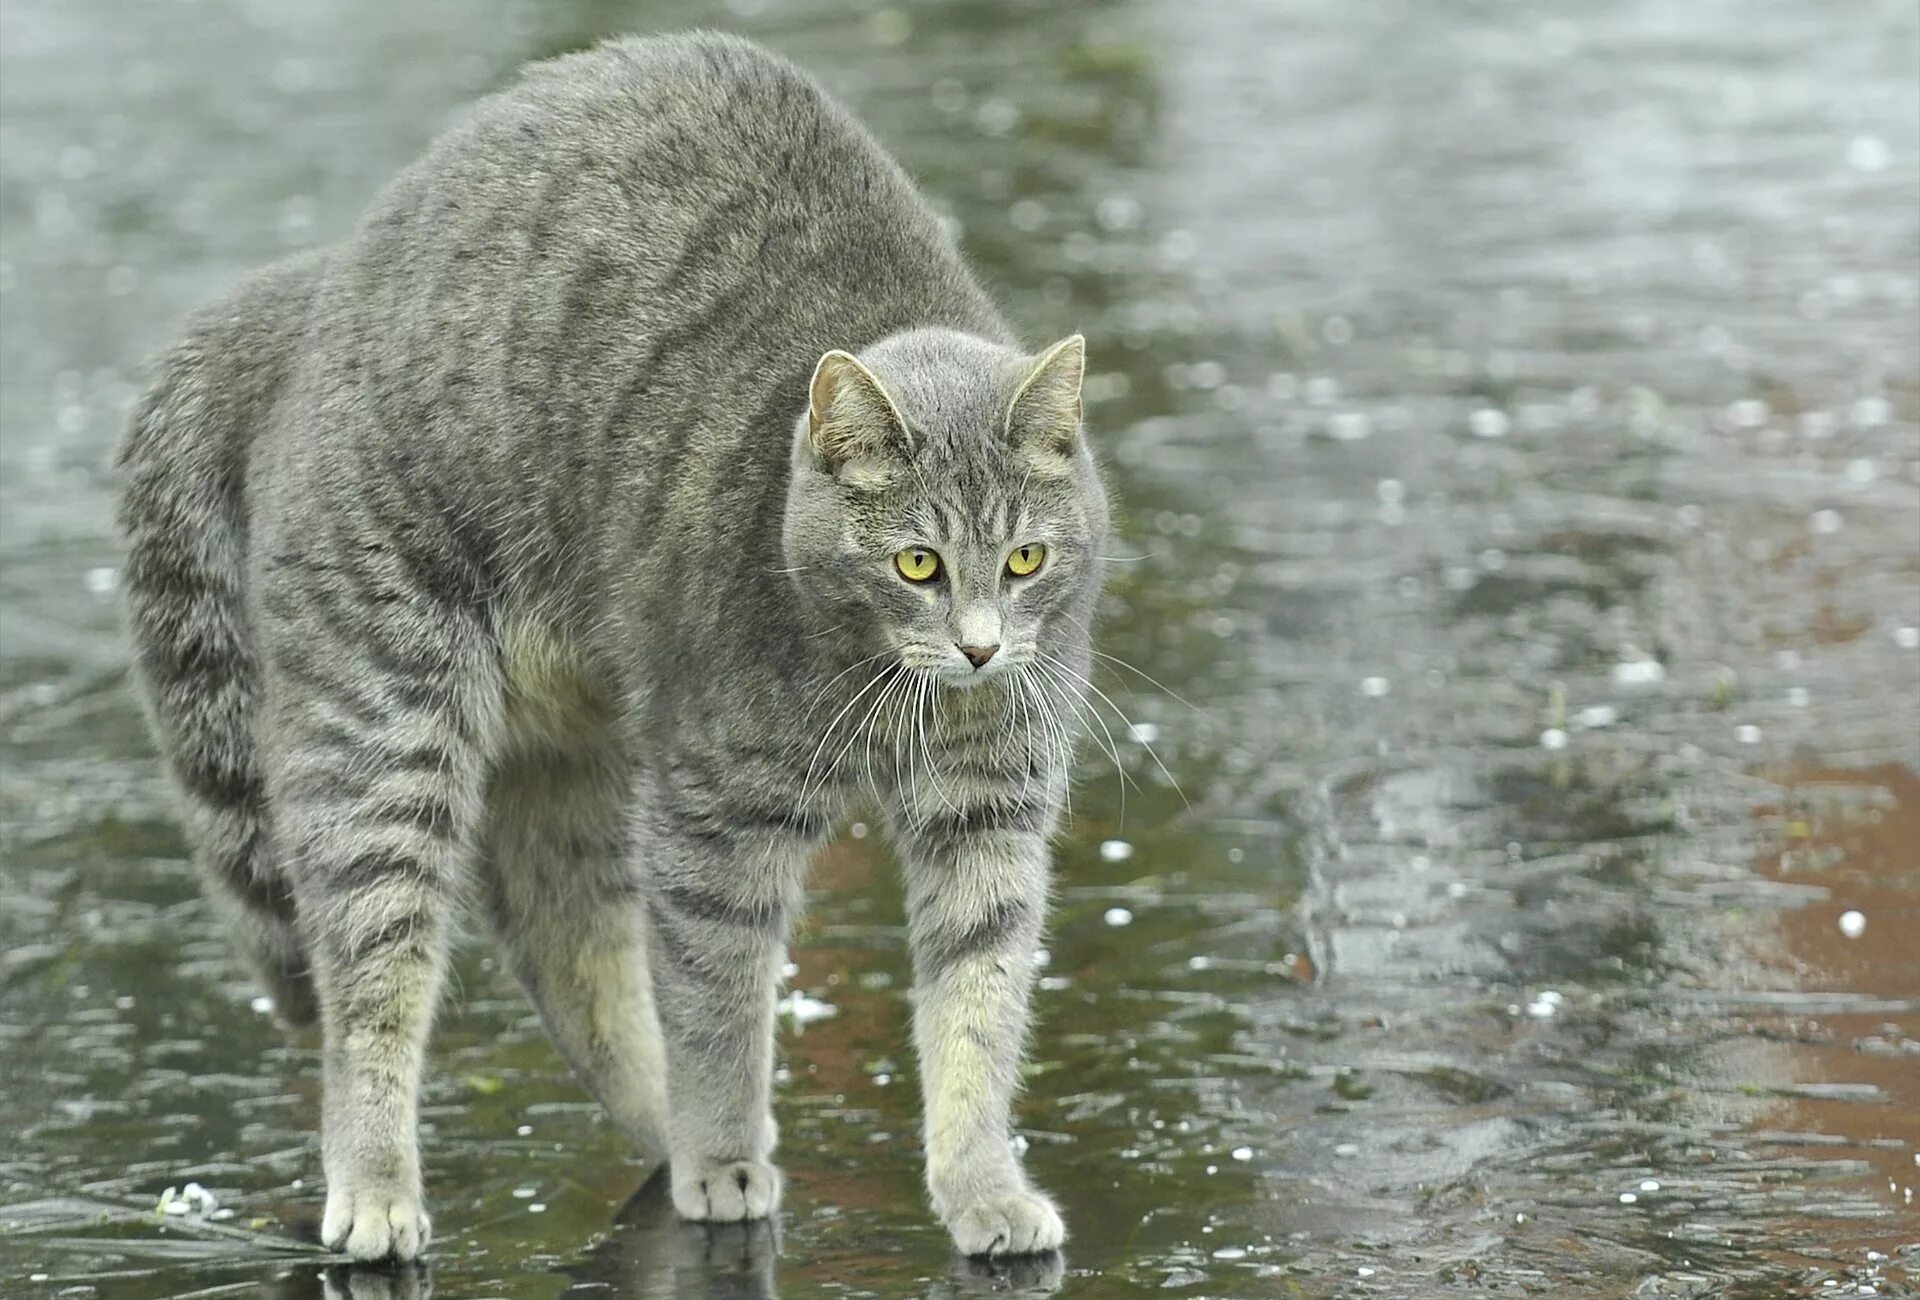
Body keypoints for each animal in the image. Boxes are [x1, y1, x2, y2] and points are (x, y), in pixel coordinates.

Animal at [120, 35, 1105, 1259]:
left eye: (1025, 560)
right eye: (917, 564)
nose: (978, 652)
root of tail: (321, 283)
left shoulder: (991, 810)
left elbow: (979, 1006)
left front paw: (981, 1185)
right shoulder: (716, 814)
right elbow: (720, 1000)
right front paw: (723, 1153)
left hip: (570, 756)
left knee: (566, 949)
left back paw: (658, 1122)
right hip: (386, 737)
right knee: (370, 988)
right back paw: (390, 1184)